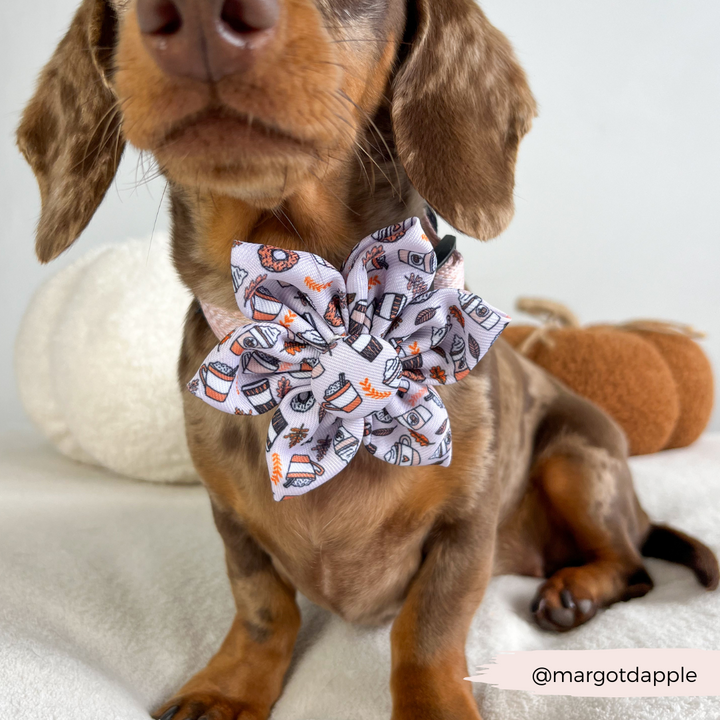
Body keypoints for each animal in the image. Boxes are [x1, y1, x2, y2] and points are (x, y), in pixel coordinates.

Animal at [18, 1, 720, 720]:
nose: (198, 20)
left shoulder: (465, 527)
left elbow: (427, 628)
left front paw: (432, 705)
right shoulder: (231, 520)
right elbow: (263, 605)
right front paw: (229, 685)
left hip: (577, 458)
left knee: (633, 566)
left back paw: (574, 591)